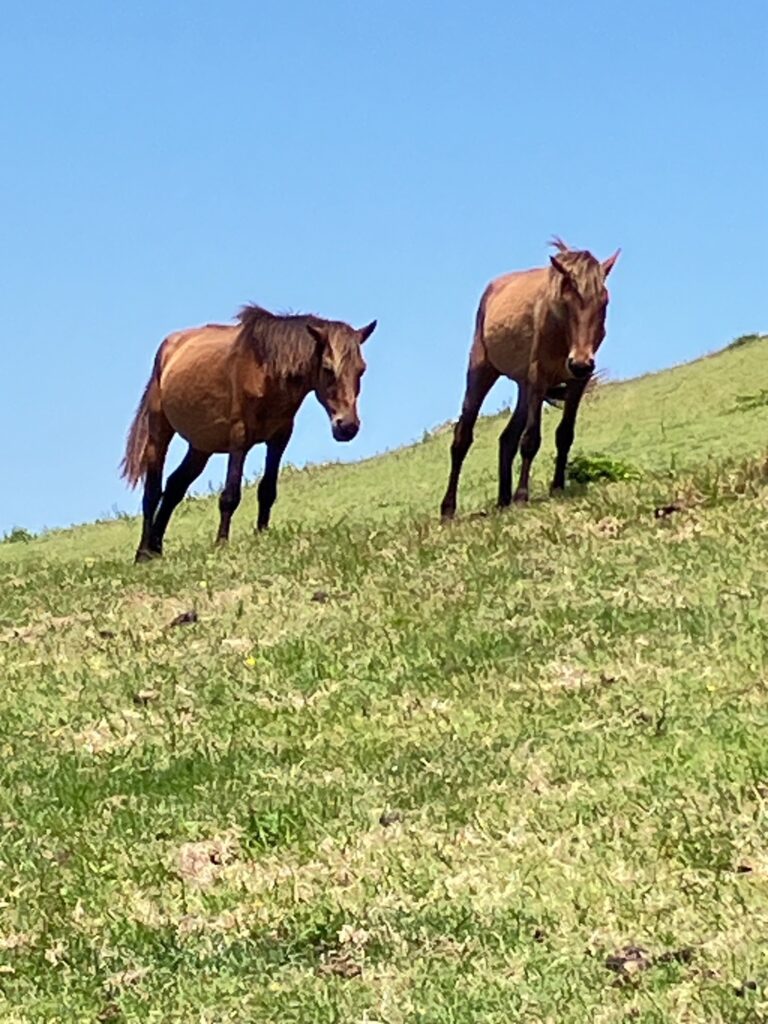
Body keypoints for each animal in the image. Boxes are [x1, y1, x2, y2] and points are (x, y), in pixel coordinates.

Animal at [121, 304, 377, 562]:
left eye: (362, 370)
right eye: (327, 368)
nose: (347, 426)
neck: (264, 369)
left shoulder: (279, 438)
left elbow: (267, 491)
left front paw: (262, 536)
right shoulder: (239, 438)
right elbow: (230, 495)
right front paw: (221, 544)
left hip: (201, 446)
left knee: (174, 487)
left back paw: (156, 548)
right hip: (159, 432)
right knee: (152, 493)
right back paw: (143, 553)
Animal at [440, 238, 620, 519]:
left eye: (604, 302)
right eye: (567, 301)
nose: (580, 362)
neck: (561, 332)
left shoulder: (576, 382)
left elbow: (564, 434)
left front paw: (557, 487)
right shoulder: (539, 377)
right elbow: (531, 439)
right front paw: (522, 496)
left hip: (524, 386)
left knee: (506, 439)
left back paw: (503, 500)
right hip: (482, 372)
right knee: (462, 437)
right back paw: (448, 509)